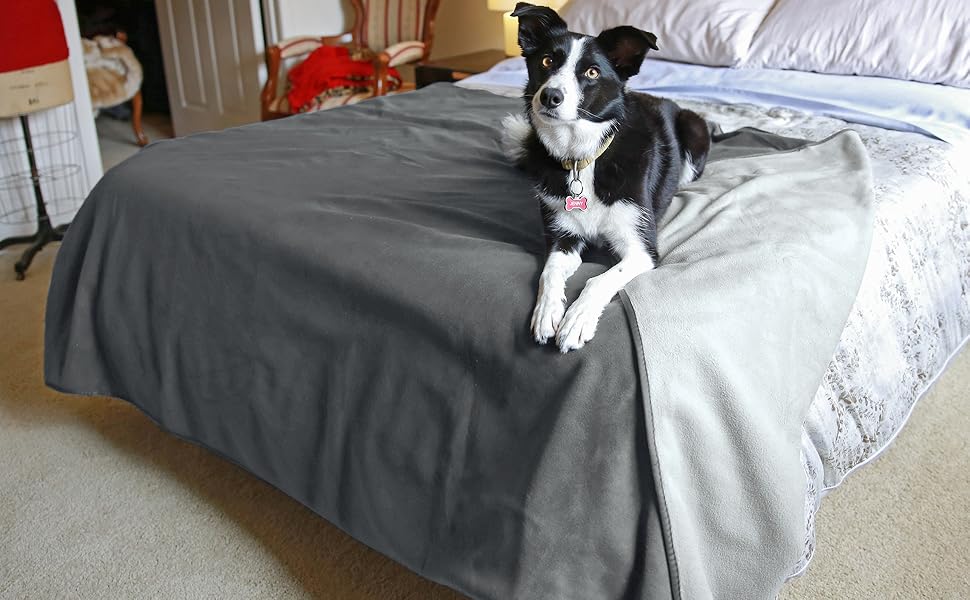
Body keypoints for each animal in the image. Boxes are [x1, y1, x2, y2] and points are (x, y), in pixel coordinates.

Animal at [503, 2, 711, 353]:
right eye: (546, 61)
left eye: (592, 73)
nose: (549, 97)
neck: (581, 157)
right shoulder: (563, 238)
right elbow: (549, 272)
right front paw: (547, 311)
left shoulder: (642, 249)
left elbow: (599, 278)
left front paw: (576, 319)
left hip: (695, 129)